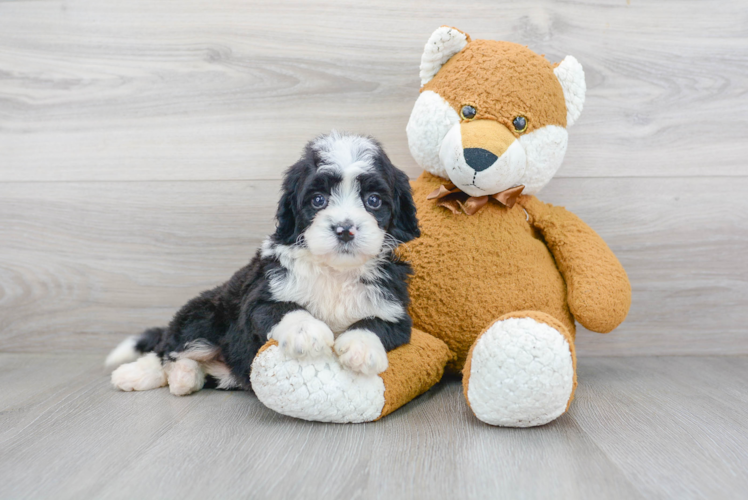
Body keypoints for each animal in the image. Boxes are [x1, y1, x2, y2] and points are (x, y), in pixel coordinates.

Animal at [105, 131, 420, 396]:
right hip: (205, 315)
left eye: (374, 200)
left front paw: (361, 348)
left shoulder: (395, 311)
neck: (335, 273)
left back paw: (186, 376)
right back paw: (139, 374)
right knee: (167, 349)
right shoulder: (259, 296)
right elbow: (285, 308)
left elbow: (375, 324)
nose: (344, 229)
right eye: (318, 200)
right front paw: (307, 332)